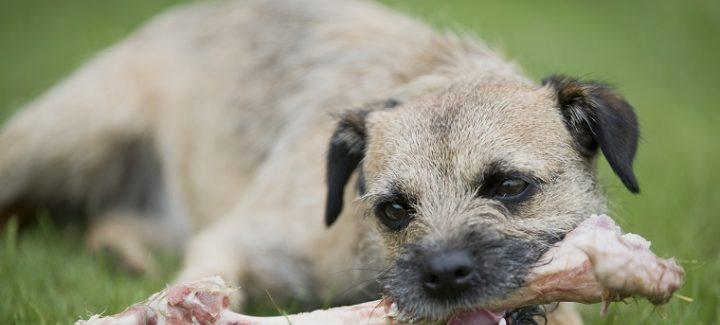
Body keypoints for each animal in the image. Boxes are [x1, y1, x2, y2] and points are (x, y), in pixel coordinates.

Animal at [0, 0, 640, 322]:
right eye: (393, 210)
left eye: (509, 186)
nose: (442, 274)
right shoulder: (237, 237)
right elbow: (210, 269)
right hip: (64, 136)